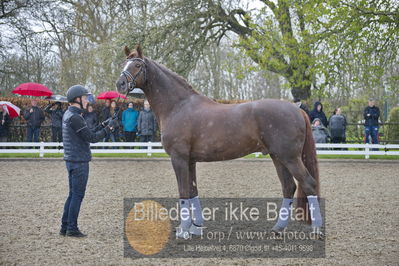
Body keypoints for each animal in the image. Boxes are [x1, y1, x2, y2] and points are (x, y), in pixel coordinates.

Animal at [117, 44, 324, 238]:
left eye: (137, 65)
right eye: (124, 63)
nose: (120, 84)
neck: (178, 106)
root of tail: (297, 110)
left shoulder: (179, 158)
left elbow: (183, 192)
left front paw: (183, 230)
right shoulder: (190, 161)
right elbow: (193, 191)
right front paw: (196, 227)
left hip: (290, 157)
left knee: (308, 183)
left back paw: (316, 229)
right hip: (278, 157)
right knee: (289, 187)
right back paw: (278, 228)